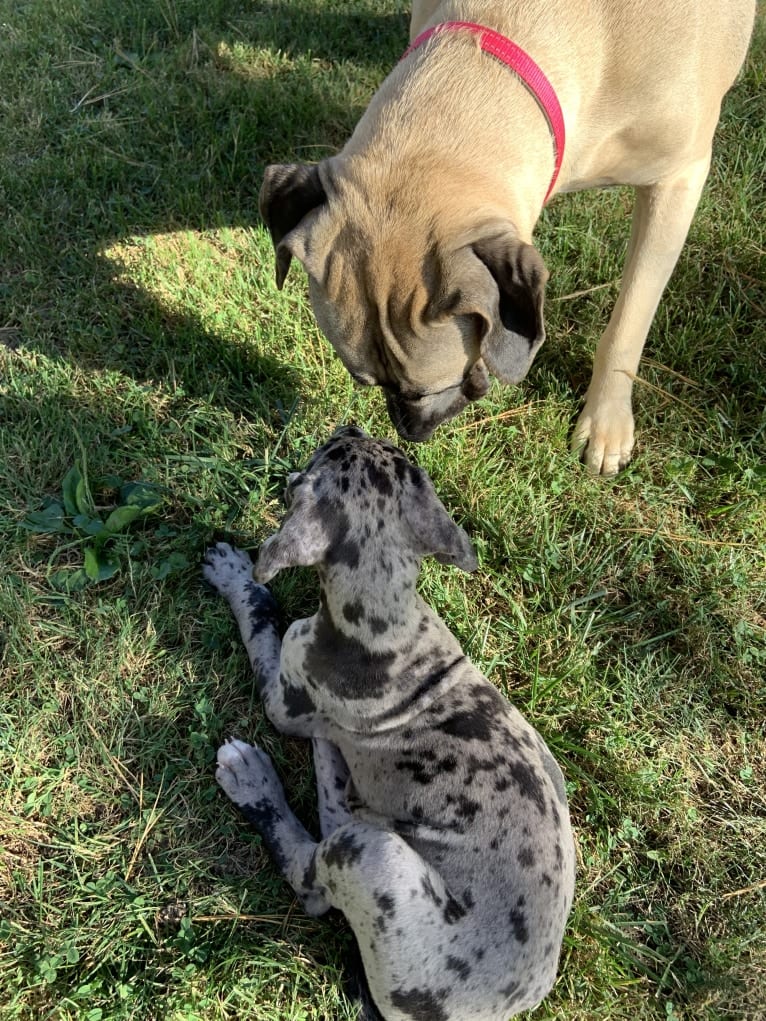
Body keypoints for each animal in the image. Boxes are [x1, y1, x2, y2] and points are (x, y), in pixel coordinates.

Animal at [204, 426, 576, 1016]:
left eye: (326, 455)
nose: (349, 426)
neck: (389, 616)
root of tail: (507, 1005)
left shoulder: (283, 694)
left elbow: (260, 615)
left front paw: (235, 574)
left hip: (369, 857)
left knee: (310, 882)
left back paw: (252, 780)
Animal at [258, 0, 755, 473]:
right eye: (367, 381)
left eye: (430, 388)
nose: (409, 431)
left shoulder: (680, 177)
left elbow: (630, 316)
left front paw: (606, 422)